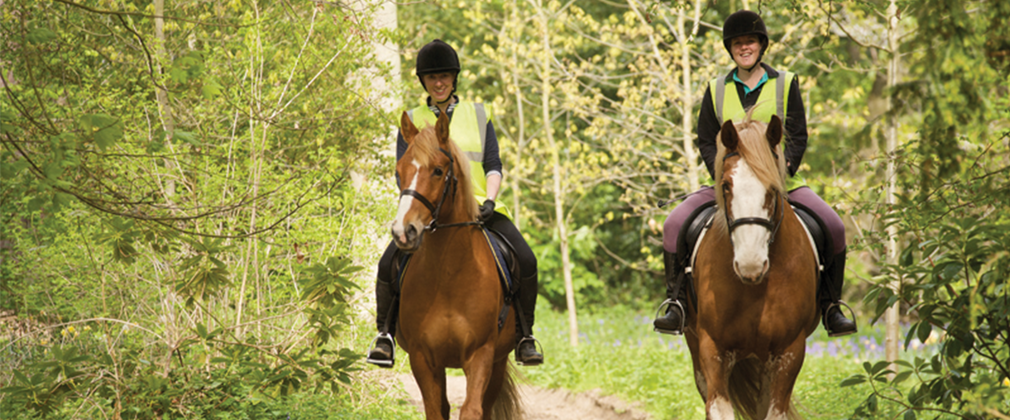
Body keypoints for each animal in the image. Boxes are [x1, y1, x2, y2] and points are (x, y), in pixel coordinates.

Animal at [389, 111, 525, 420]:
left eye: (438, 171)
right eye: (399, 171)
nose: (404, 232)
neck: (449, 275)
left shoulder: (481, 354)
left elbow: (472, 410)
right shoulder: (422, 358)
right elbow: (435, 410)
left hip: (498, 362)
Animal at [686, 115, 820, 420]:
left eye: (772, 188)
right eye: (726, 185)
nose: (750, 264)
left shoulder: (789, 352)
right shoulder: (712, 348)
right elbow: (718, 408)